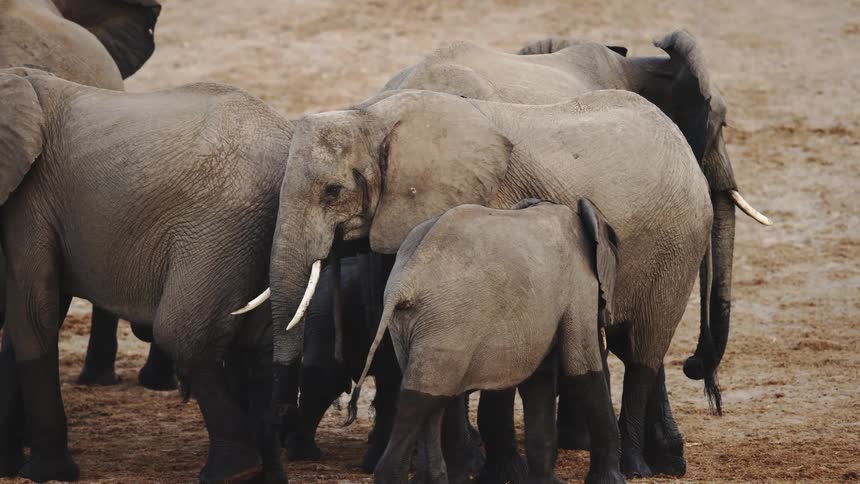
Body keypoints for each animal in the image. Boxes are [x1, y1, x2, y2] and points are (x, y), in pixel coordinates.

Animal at [0, 67, 291, 483]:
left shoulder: (30, 200)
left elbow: (32, 313)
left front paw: (44, 472)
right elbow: (29, 316)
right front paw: (9, 464)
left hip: (220, 227)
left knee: (183, 331)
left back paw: (231, 471)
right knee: (260, 343)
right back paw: (266, 475)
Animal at [346, 198, 624, 484]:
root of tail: (404, 281)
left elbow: (540, 380)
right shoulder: (579, 283)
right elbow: (583, 368)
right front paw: (611, 480)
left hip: (411, 325)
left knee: (430, 399)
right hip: (446, 322)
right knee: (421, 398)